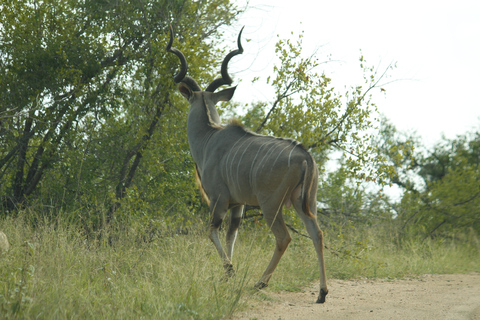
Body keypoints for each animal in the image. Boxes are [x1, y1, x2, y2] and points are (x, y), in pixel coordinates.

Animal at [167, 25, 328, 302]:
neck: (209, 138)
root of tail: (304, 156)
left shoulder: (219, 200)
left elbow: (212, 232)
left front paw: (230, 272)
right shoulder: (238, 206)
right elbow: (231, 236)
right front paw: (226, 275)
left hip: (271, 205)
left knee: (284, 238)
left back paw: (260, 282)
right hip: (304, 202)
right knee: (316, 234)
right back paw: (322, 293)